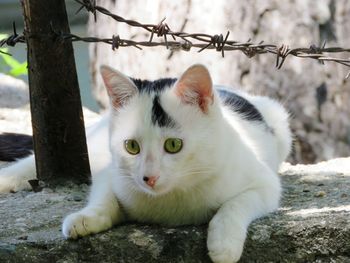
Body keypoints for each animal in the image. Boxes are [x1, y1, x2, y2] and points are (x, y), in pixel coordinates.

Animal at [0, 64, 292, 263]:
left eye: (173, 145)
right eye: (132, 146)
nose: (148, 178)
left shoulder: (265, 183)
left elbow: (236, 204)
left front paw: (224, 243)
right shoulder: (113, 172)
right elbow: (103, 197)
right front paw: (87, 218)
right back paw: (8, 180)